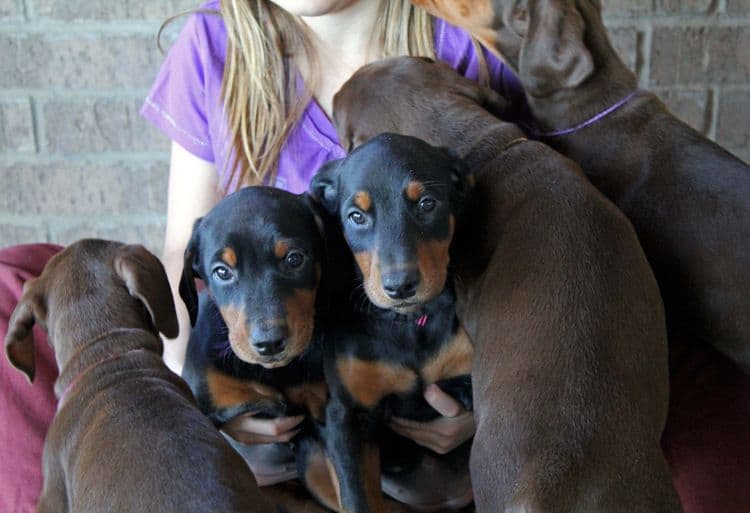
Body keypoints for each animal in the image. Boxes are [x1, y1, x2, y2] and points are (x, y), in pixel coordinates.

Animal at [312, 133, 476, 512]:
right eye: (356, 216)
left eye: (427, 204)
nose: (400, 286)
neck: (407, 323)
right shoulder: (346, 416)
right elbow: (357, 497)